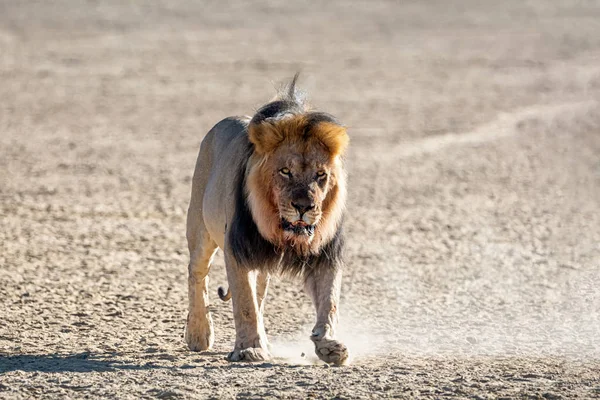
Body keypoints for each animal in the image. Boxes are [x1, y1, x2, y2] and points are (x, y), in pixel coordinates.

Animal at [185, 73, 350, 364]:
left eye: (321, 174)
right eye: (285, 171)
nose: (303, 206)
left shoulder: (326, 252)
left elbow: (330, 302)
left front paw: (329, 346)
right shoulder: (237, 248)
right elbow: (245, 303)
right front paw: (249, 349)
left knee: (260, 291)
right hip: (199, 228)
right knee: (197, 273)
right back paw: (198, 334)